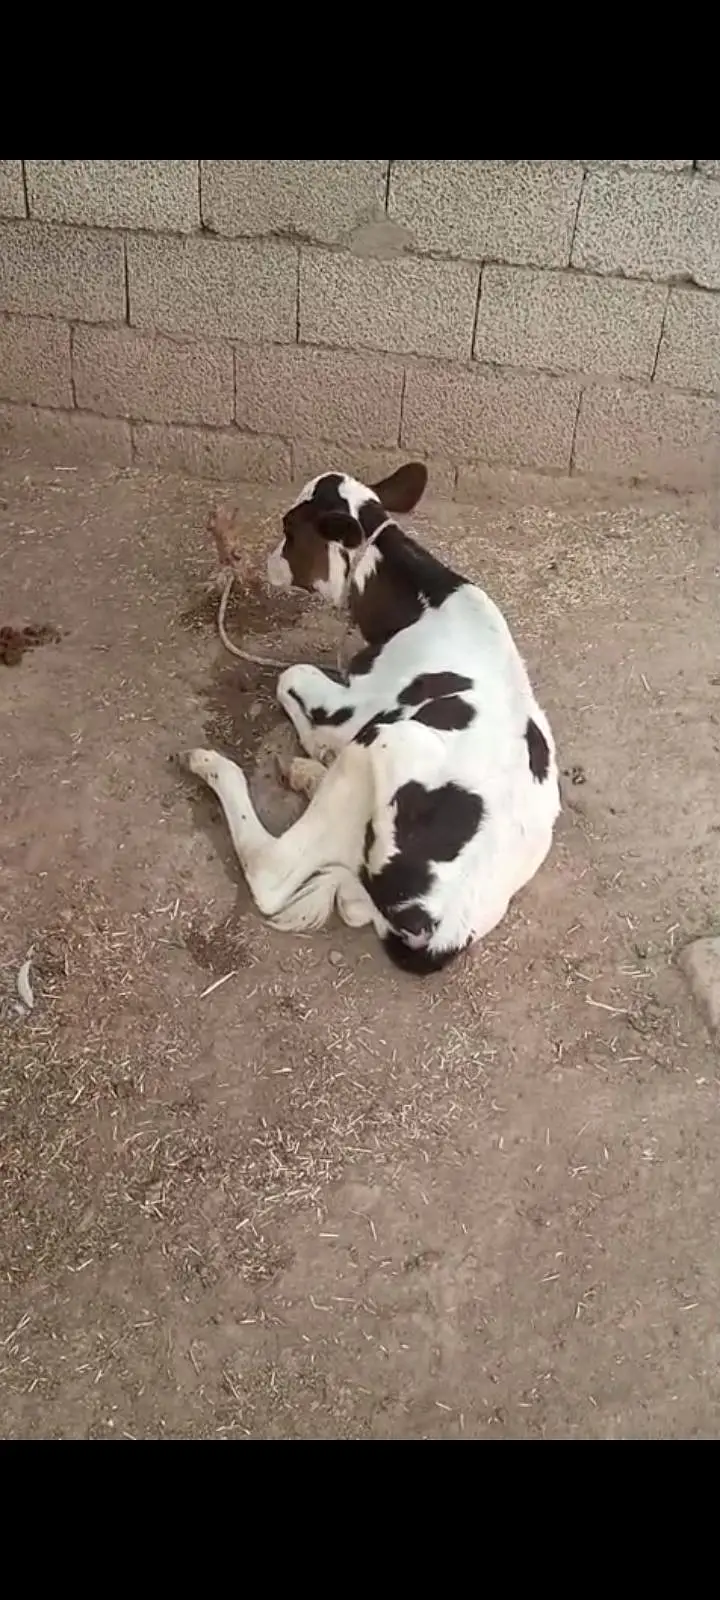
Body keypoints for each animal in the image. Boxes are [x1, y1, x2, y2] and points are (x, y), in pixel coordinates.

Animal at [179, 461, 561, 976]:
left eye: (288, 528)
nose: (267, 560)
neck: (421, 602)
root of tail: (447, 930)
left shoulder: (359, 705)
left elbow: (291, 676)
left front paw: (318, 743)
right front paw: (317, 754)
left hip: (390, 737)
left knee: (272, 869)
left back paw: (217, 765)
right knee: (353, 899)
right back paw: (307, 775)